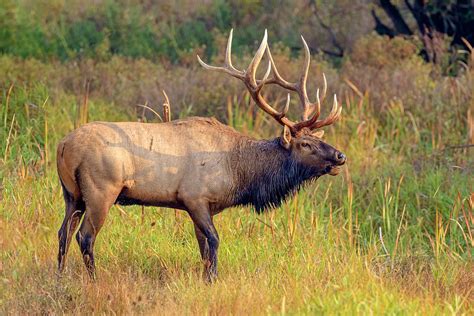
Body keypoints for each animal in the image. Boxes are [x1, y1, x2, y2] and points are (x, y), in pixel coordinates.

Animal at [57, 30, 346, 282]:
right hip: (101, 190)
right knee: (85, 236)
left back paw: (60, 278)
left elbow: (203, 248)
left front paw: (206, 278)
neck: (239, 173)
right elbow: (214, 241)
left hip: (72, 194)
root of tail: (62, 146)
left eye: (319, 139)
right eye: (305, 144)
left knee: (63, 233)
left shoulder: (203, 205)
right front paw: (213, 280)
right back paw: (93, 280)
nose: (340, 156)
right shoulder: (194, 196)